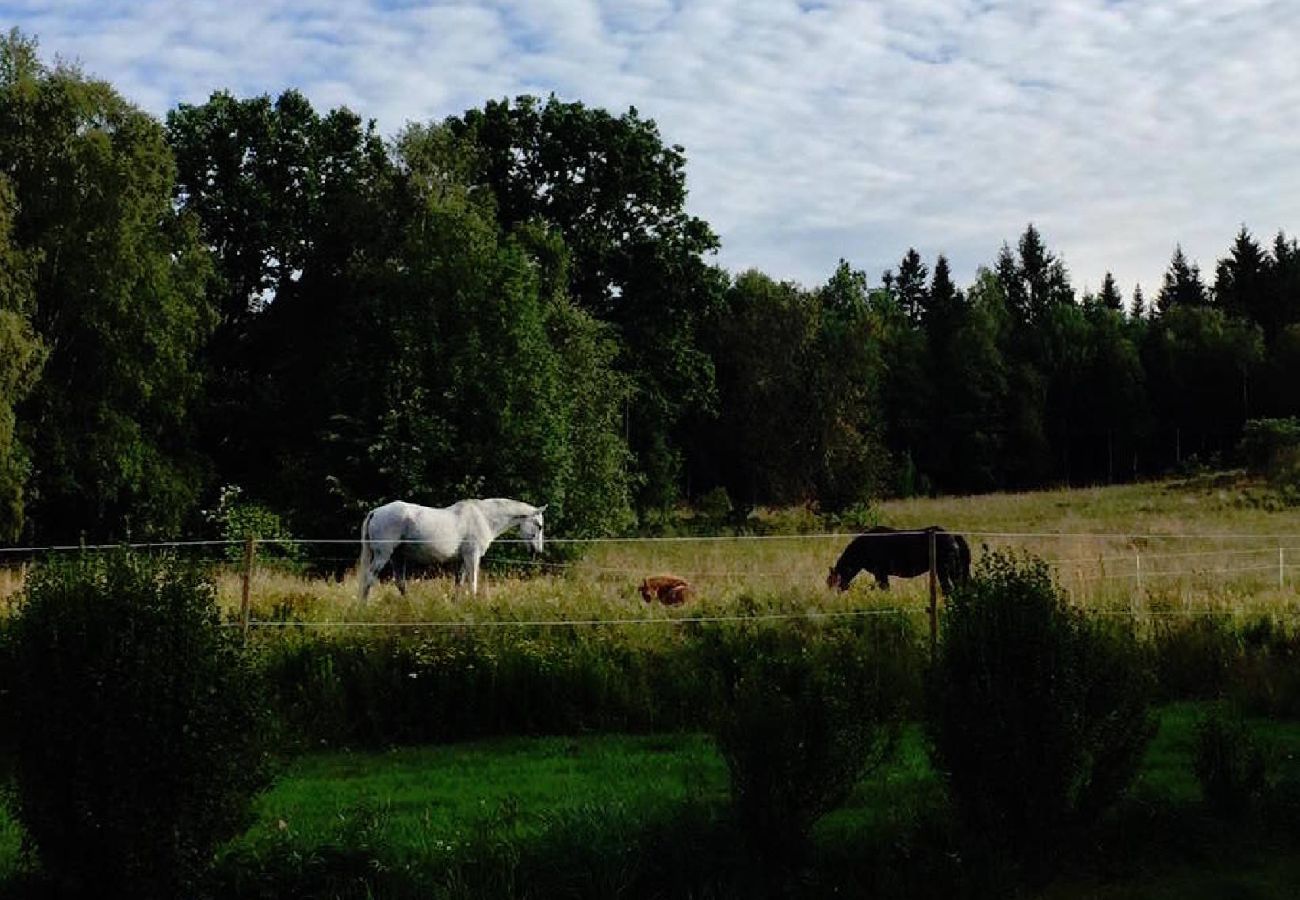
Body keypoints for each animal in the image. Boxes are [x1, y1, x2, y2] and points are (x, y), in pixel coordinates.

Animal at [353, 496, 546, 600]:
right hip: (383, 555)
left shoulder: (461, 561)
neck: (483, 517)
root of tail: (376, 512)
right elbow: (472, 583)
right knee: (369, 580)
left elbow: (459, 585)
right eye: (539, 526)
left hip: (397, 557)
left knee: (400, 583)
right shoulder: (472, 557)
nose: (538, 551)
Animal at [826, 522, 972, 593]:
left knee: (948, 589)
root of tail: (953, 536)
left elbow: (885, 589)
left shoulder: (881, 573)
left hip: (943, 570)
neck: (864, 547)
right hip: (954, 570)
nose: (833, 595)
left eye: (832, 581)